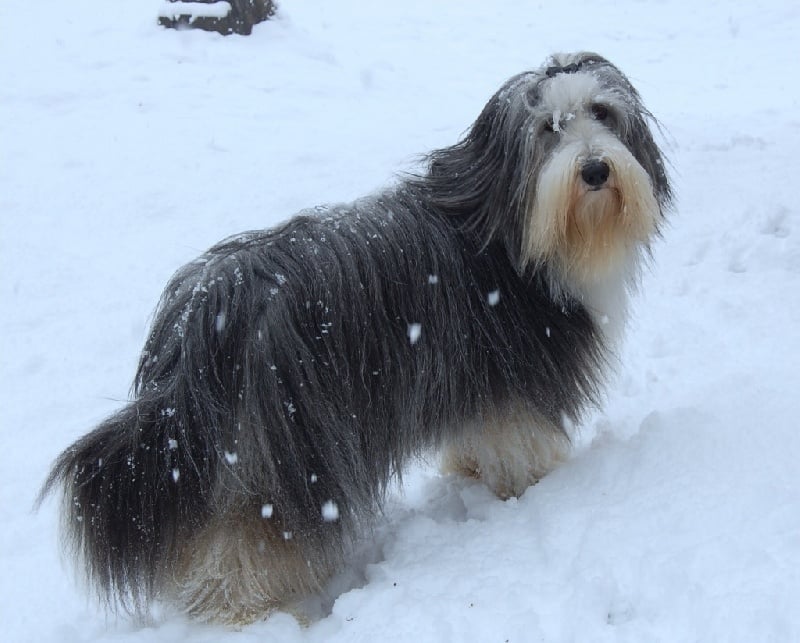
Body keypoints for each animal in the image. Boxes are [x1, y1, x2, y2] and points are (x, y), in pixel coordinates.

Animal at [40, 52, 672, 628]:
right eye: (547, 129)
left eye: (602, 113)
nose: (596, 170)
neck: (504, 233)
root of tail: (203, 321)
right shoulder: (516, 370)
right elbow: (522, 442)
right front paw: (533, 489)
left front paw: (470, 473)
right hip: (286, 445)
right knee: (251, 535)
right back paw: (250, 612)